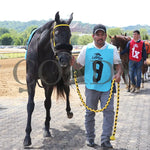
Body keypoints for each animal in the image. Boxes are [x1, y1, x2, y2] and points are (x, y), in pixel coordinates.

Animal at [23, 11, 74, 146]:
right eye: (56, 34)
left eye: (70, 34)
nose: (64, 59)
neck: (40, 52)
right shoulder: (30, 79)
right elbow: (30, 105)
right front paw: (27, 137)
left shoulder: (49, 81)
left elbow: (47, 103)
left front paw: (46, 128)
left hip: (65, 75)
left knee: (66, 90)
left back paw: (68, 111)